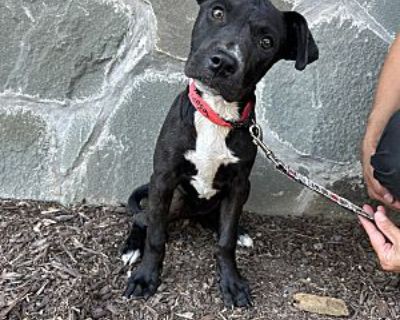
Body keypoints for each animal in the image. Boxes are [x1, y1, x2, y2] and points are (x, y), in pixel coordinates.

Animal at [120, 0, 318, 306]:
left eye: (266, 42)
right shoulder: (163, 179)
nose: (224, 62)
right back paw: (132, 248)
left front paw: (232, 281)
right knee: (143, 219)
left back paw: (237, 232)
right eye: (217, 12)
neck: (217, 113)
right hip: (172, 199)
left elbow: (225, 242)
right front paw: (146, 276)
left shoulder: (238, 186)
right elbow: (155, 236)